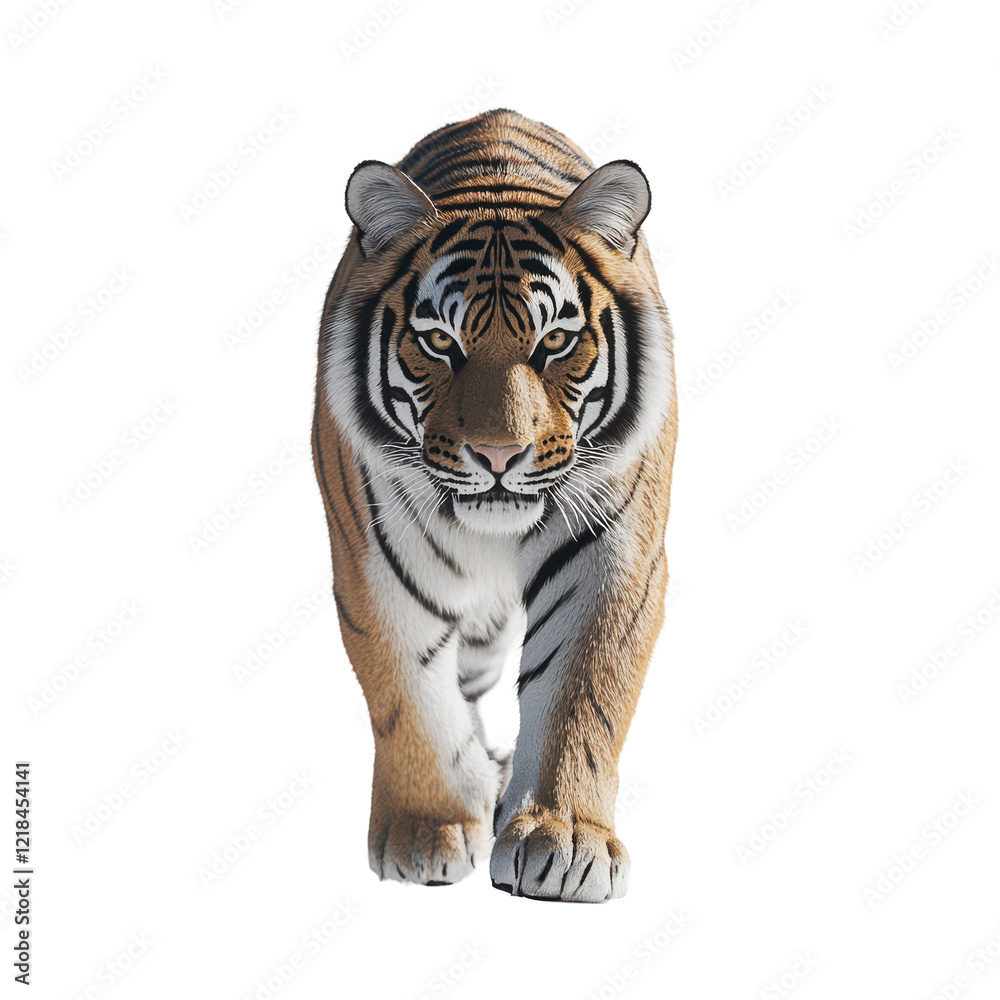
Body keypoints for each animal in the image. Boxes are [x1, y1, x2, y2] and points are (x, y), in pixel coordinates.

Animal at [312, 109, 676, 902]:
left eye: (557, 340)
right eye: (439, 341)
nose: (500, 456)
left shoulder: (611, 549)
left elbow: (582, 690)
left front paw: (563, 841)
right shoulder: (373, 557)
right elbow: (408, 692)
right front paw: (429, 830)